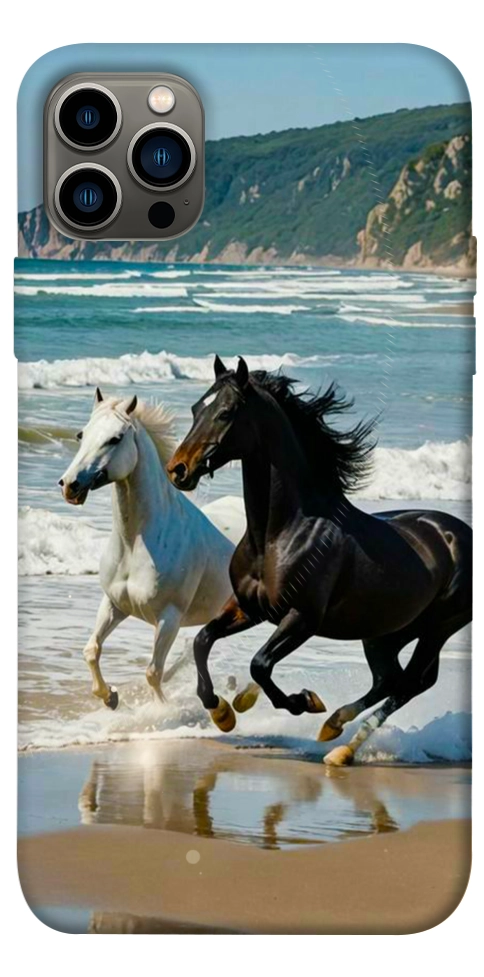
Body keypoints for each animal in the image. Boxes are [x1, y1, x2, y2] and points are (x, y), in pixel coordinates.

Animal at [59, 387, 234, 709]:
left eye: (115, 438)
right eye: (81, 434)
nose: (69, 485)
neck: (135, 544)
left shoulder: (169, 618)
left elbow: (153, 672)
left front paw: (161, 711)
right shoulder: (114, 604)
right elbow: (92, 650)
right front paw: (110, 697)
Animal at [166, 356, 472, 765]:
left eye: (226, 412)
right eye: (196, 408)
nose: (178, 469)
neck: (279, 534)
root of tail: (460, 534)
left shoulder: (303, 618)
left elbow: (260, 664)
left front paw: (303, 701)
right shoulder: (249, 608)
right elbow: (202, 641)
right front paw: (223, 712)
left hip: (438, 627)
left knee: (410, 683)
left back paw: (340, 746)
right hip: (386, 632)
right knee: (390, 679)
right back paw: (334, 729)